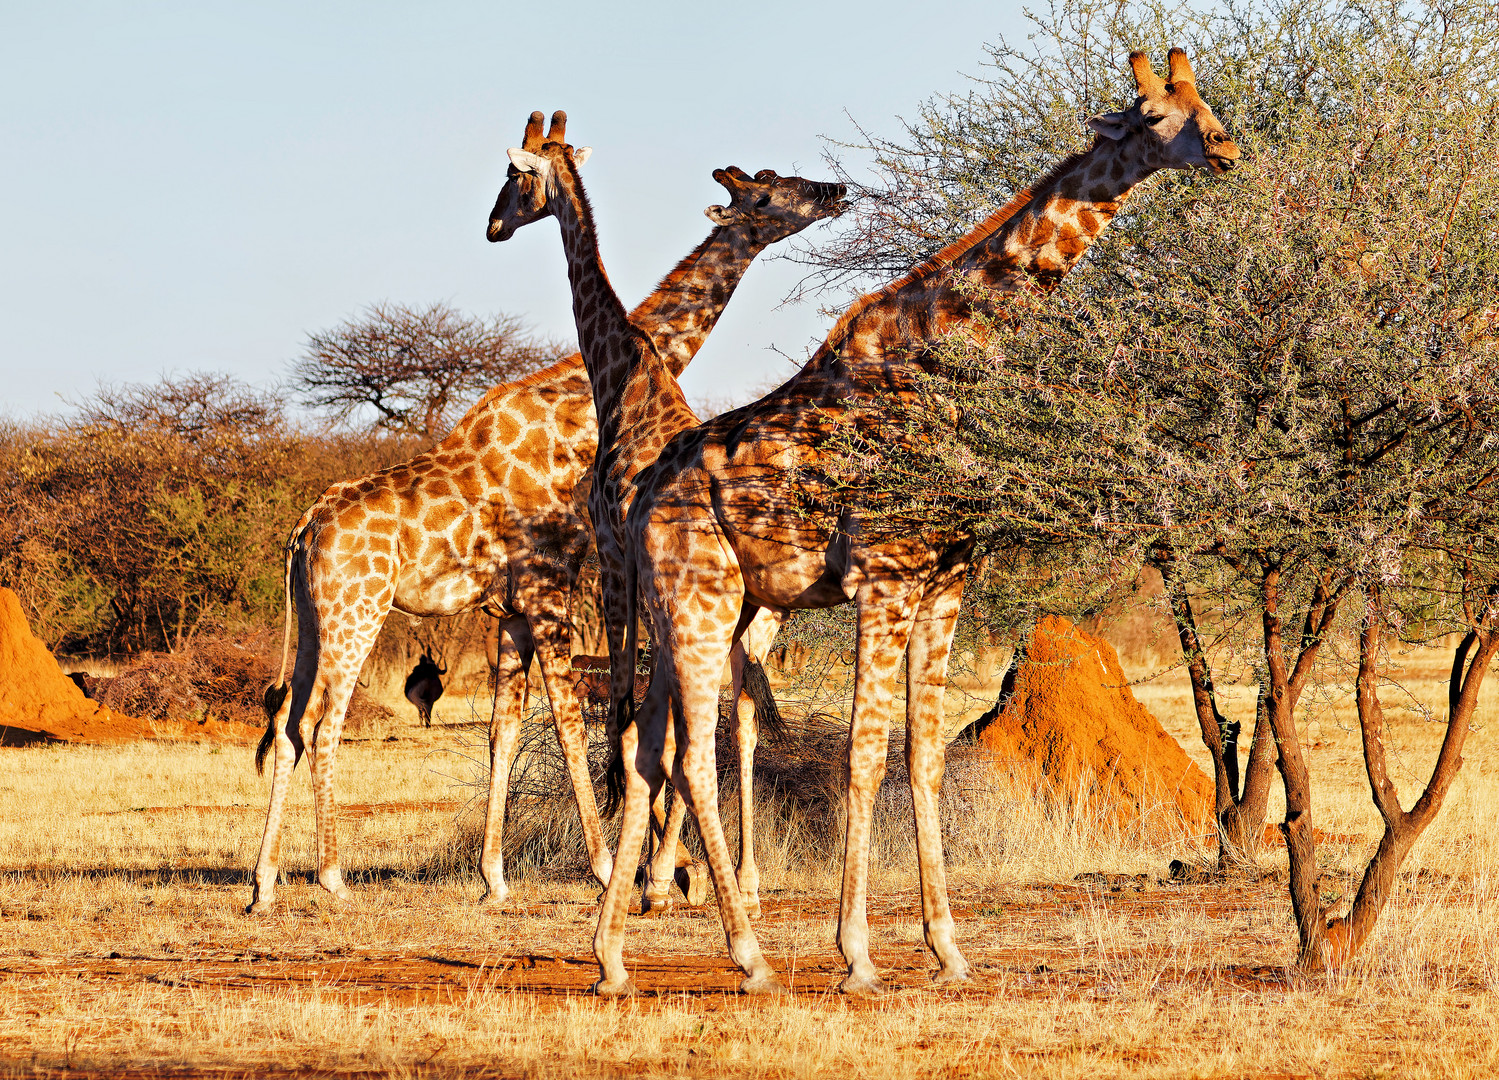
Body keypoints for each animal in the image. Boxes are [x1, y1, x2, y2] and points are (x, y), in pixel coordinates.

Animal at [251, 111, 851, 912]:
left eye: (514, 178)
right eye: (771, 190)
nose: (836, 191)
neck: (585, 394)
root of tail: (302, 528)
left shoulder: (522, 604)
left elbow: (515, 730)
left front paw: (506, 876)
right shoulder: (550, 590)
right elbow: (573, 720)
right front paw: (608, 868)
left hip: (322, 615)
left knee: (291, 722)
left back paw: (269, 881)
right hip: (356, 610)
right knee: (318, 721)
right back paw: (327, 875)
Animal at [596, 50, 1241, 996]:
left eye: (1204, 101)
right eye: (1156, 115)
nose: (1226, 148)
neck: (950, 357)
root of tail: (641, 497)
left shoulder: (945, 585)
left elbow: (925, 759)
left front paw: (948, 949)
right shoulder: (884, 579)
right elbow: (865, 758)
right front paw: (857, 954)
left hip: (698, 602)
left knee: (646, 751)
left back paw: (610, 958)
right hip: (700, 599)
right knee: (687, 759)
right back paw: (748, 956)